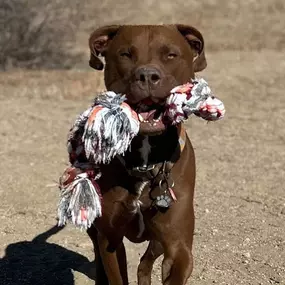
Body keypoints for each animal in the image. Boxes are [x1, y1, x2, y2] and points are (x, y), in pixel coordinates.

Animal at [85, 25, 205, 284]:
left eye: (171, 55)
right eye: (125, 54)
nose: (147, 75)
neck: (146, 161)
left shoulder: (178, 243)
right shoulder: (110, 239)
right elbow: (114, 271)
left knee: (145, 262)